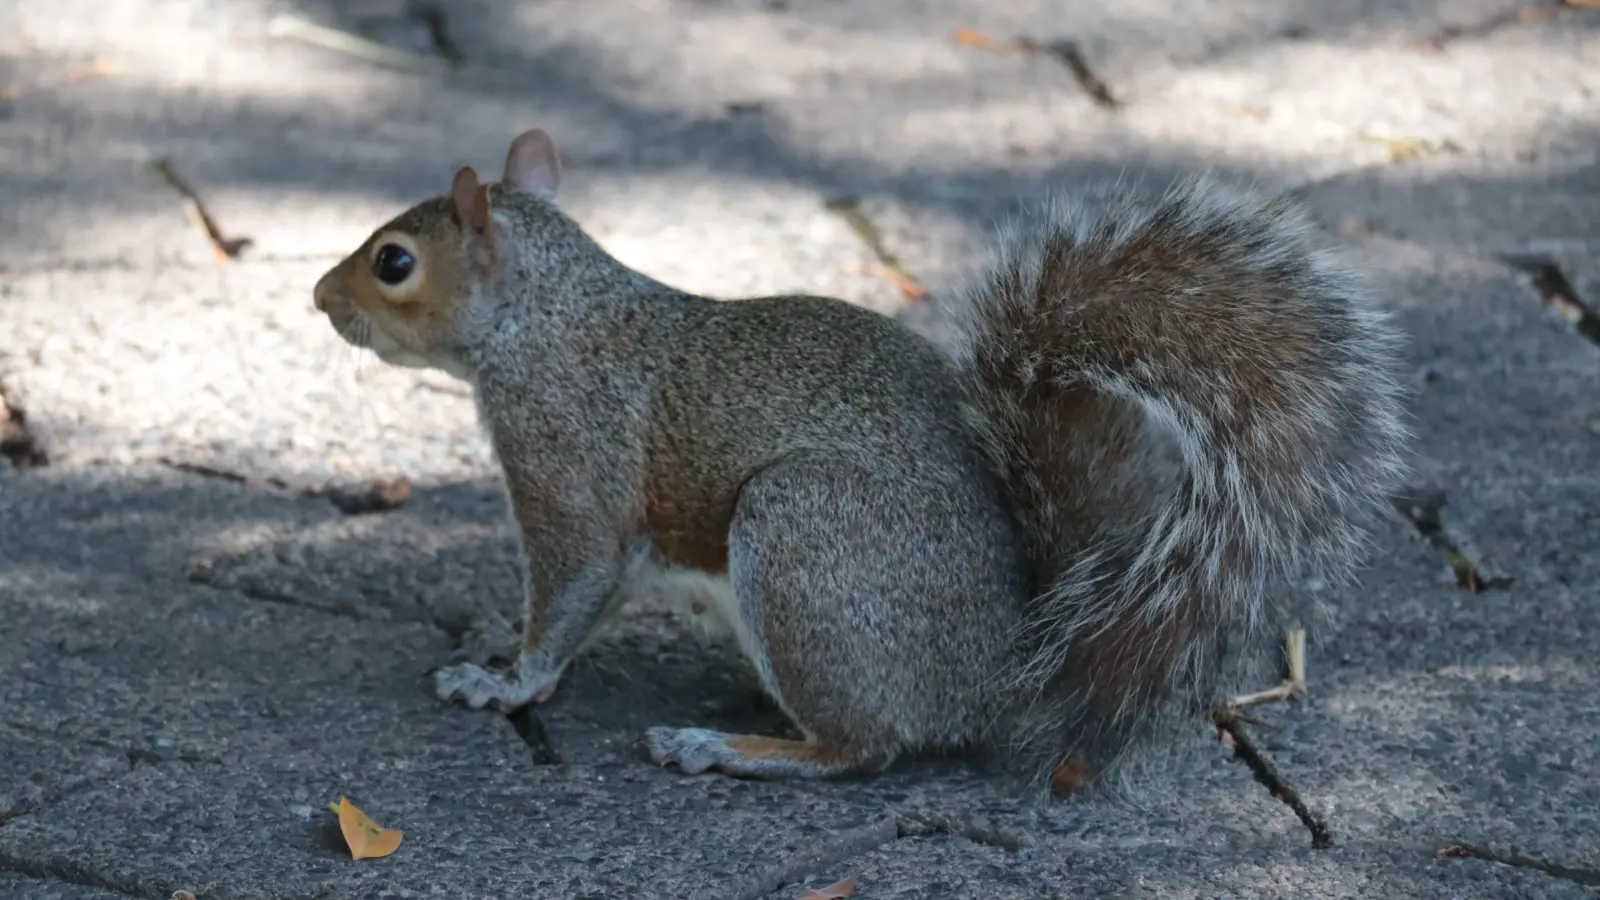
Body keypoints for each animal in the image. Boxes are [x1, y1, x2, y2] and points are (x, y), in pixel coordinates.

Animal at [315, 128, 1414, 791]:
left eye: (394, 262)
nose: (321, 299)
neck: (545, 318)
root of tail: (1002, 667)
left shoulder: (566, 463)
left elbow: (571, 588)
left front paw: (504, 683)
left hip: (803, 540)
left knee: (860, 748)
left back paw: (727, 747)